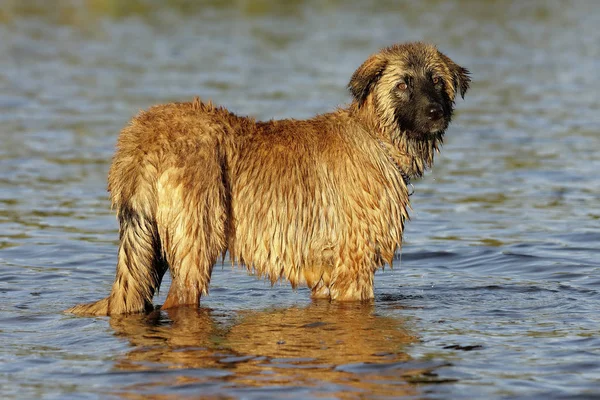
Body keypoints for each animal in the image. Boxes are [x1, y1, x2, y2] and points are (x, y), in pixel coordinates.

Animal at [67, 41, 468, 316]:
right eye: (402, 85)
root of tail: (141, 137)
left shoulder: (326, 277)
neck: (376, 135)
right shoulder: (354, 267)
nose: (436, 113)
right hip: (197, 235)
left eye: (437, 80)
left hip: (151, 243)